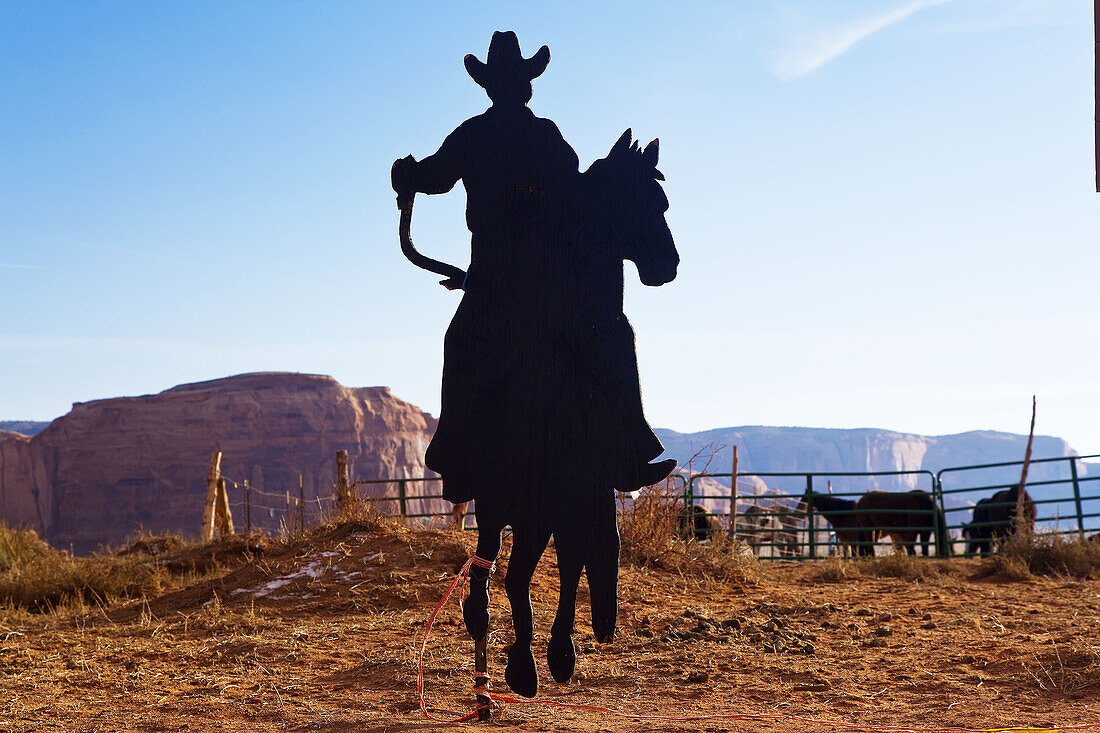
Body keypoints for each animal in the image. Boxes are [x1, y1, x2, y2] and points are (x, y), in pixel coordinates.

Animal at [391, 32, 673, 695]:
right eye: (654, 199)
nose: (668, 265)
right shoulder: (580, 487)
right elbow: (573, 563)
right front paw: (555, 651)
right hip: (538, 493)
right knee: (522, 569)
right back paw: (522, 663)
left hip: (501, 493)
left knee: (490, 566)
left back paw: (488, 639)